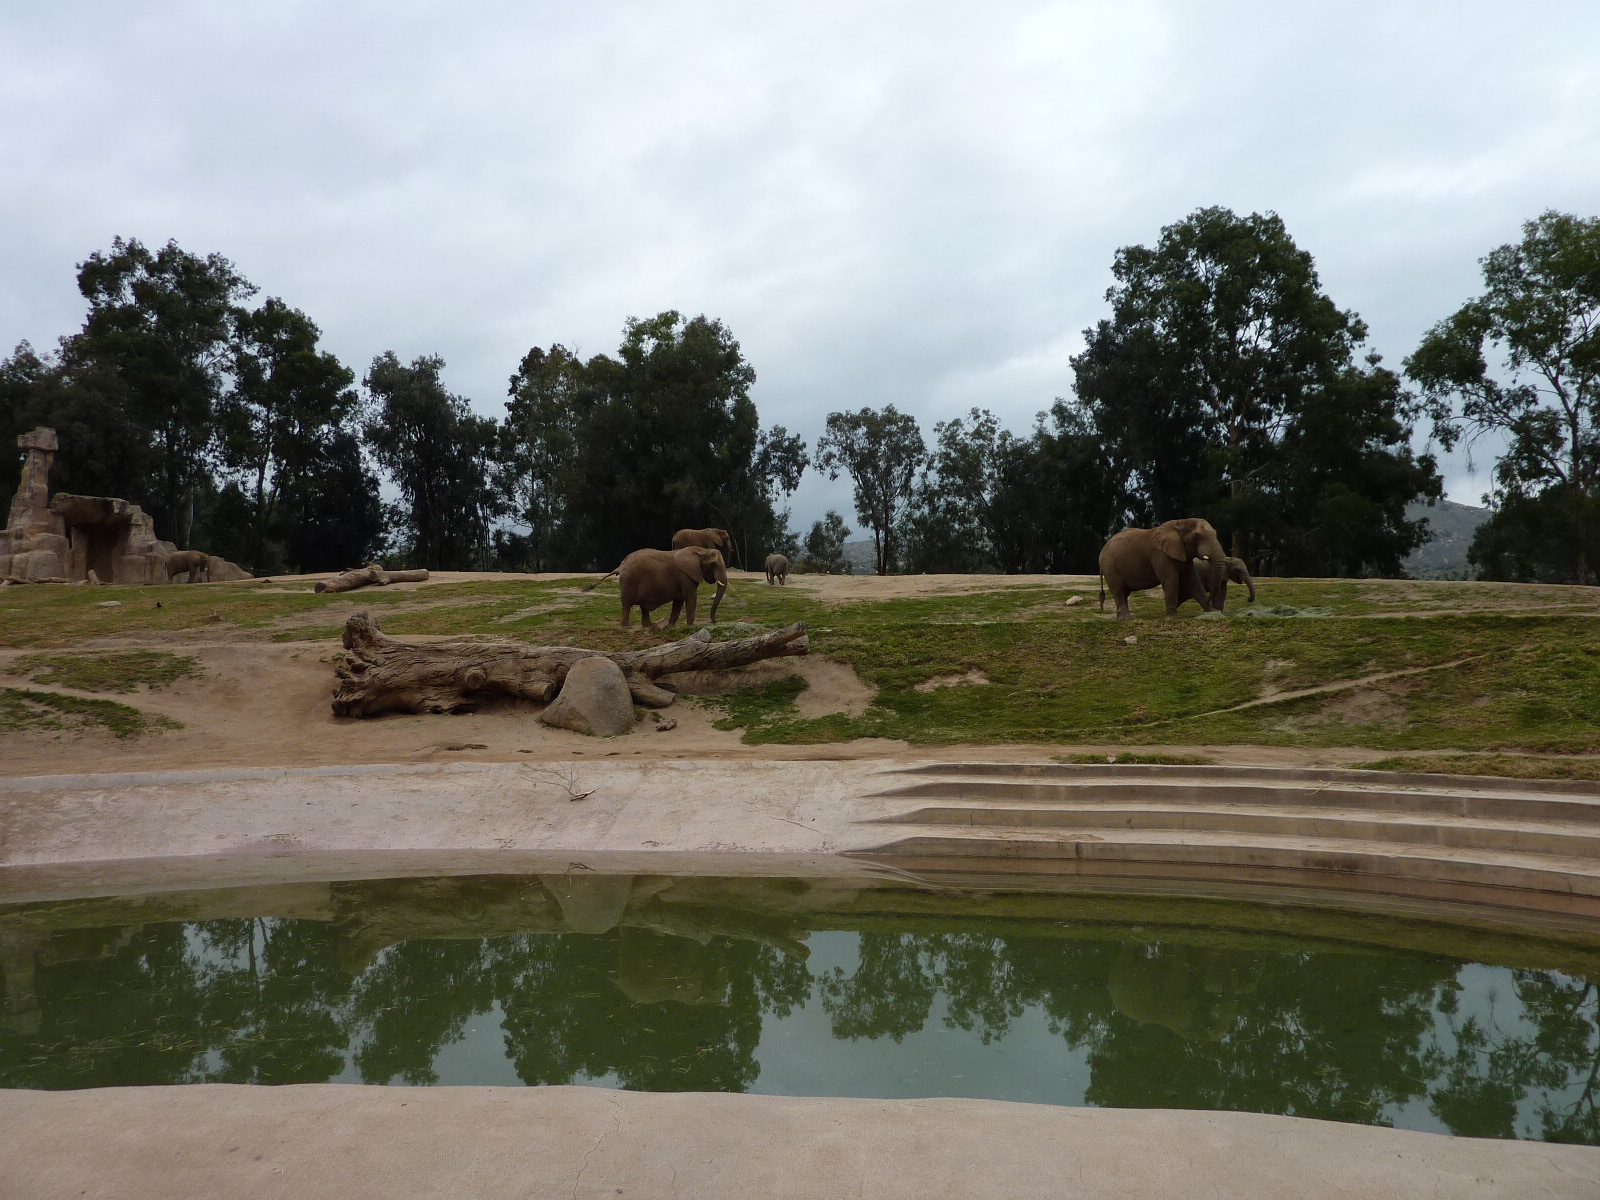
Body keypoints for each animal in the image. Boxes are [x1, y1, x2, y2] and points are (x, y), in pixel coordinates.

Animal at [594, 546, 728, 629]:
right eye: (713, 565)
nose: (715, 622)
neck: (701, 550)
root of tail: (621, 566)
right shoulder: (684, 575)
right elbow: (690, 597)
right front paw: (692, 627)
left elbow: (679, 600)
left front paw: (670, 627)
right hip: (630, 581)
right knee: (627, 604)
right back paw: (627, 627)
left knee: (643, 607)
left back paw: (649, 626)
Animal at [1097, 518, 1227, 619]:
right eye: (1197, 537)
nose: (1212, 603)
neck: (1180, 522)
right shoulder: (1160, 555)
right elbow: (1171, 579)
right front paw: (1173, 618)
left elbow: (1193, 581)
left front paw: (1212, 613)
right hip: (1109, 566)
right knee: (1118, 589)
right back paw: (1126, 620)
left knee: (1124, 592)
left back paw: (1123, 619)